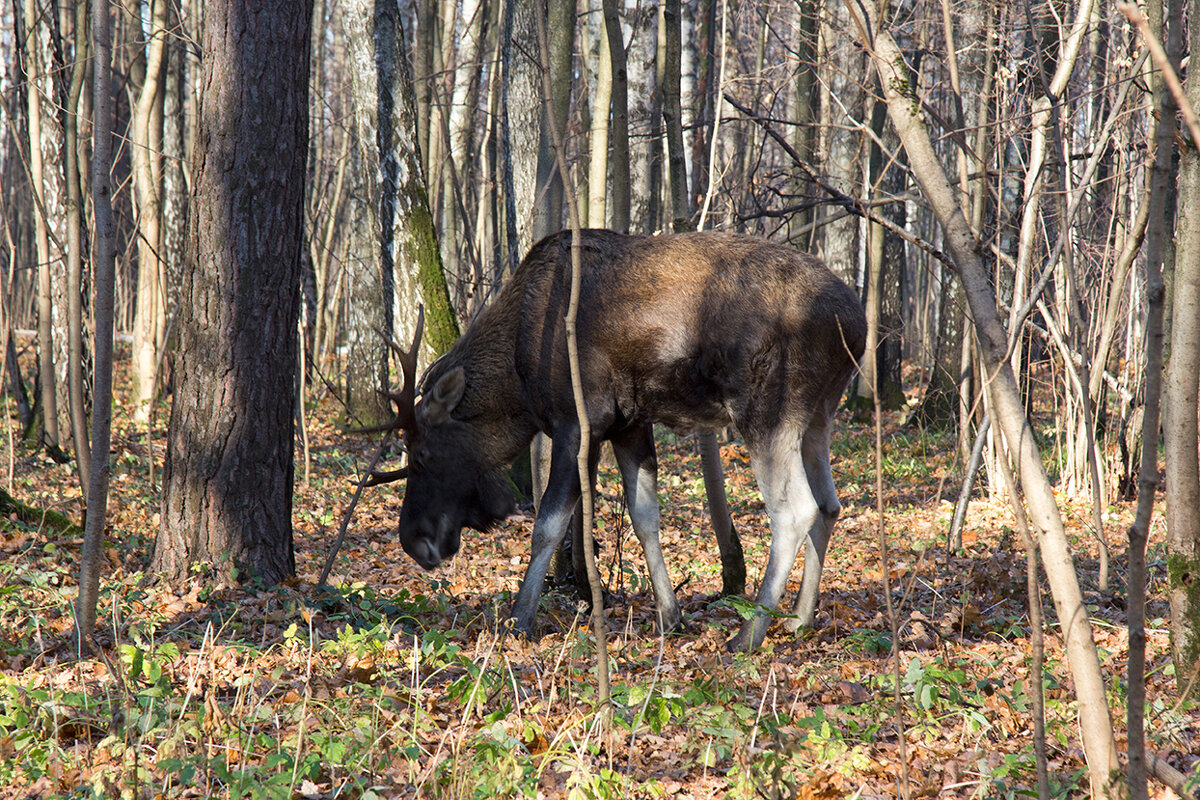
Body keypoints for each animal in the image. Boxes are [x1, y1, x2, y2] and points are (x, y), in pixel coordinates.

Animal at [379, 227, 868, 652]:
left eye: (421, 454)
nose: (412, 540)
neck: (518, 378)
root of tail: (857, 323)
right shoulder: (630, 424)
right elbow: (644, 516)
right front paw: (671, 616)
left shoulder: (578, 423)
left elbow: (547, 525)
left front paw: (519, 620)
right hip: (819, 416)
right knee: (829, 504)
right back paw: (800, 618)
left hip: (766, 411)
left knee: (795, 511)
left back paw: (748, 633)